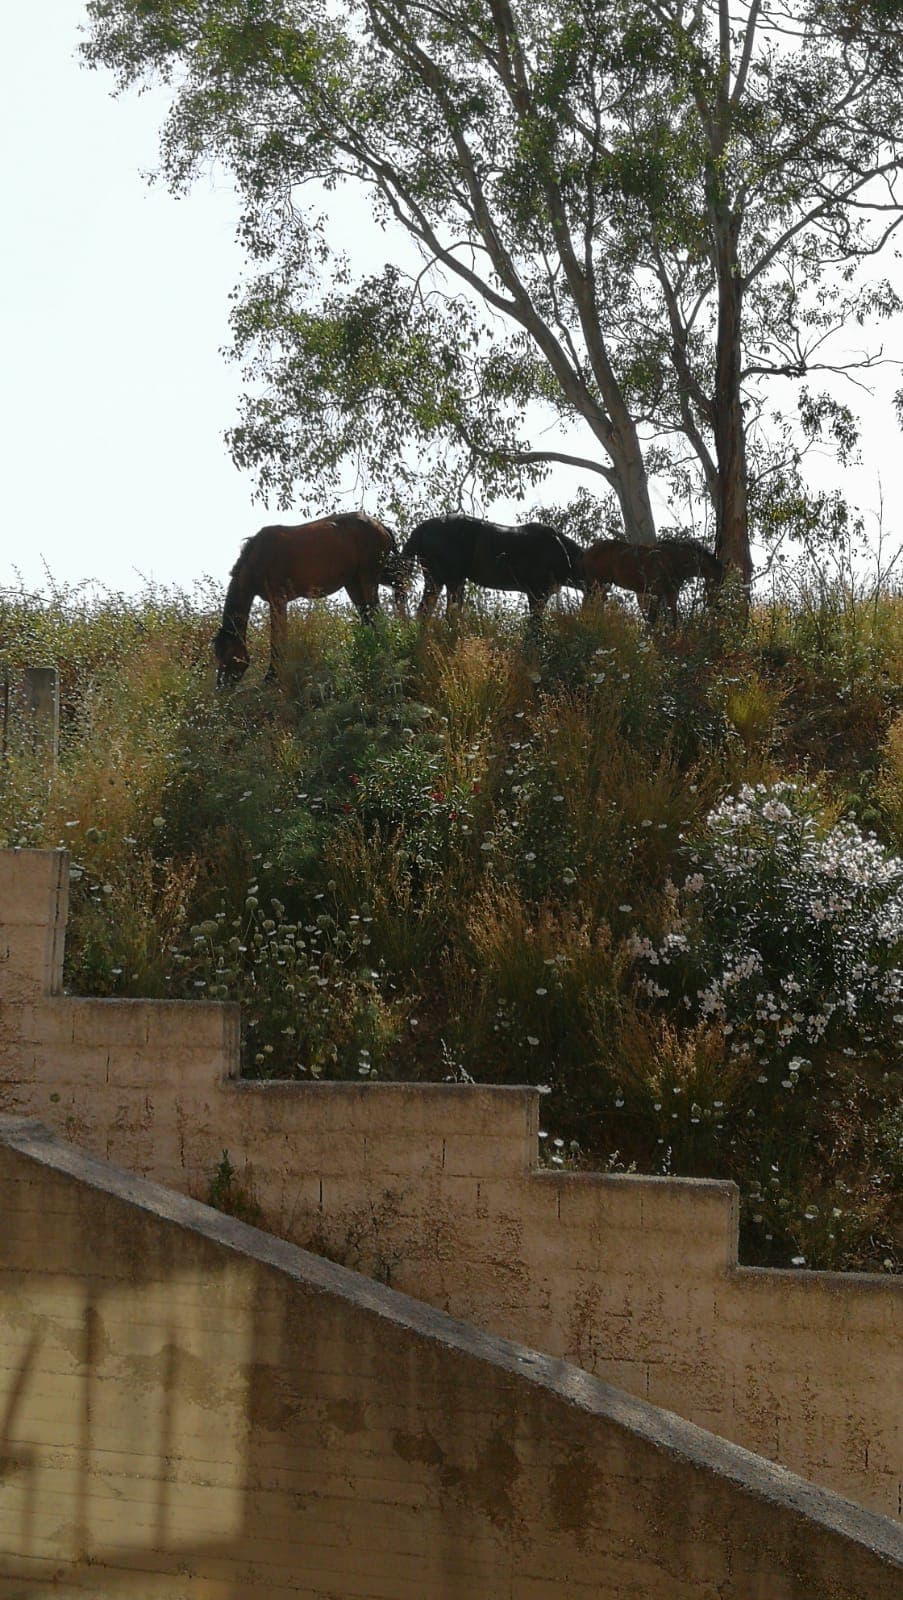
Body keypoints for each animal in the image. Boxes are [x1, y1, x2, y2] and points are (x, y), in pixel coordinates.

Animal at [212, 513, 407, 685]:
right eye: (217, 654)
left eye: (227, 654)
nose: (221, 686)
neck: (257, 558)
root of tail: (382, 527)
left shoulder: (278, 600)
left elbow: (277, 637)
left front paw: (272, 676)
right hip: (355, 581)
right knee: (382, 602)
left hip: (368, 576)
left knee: (381, 606)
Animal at [401, 515, 585, 618]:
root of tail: (421, 528)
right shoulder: (537, 593)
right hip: (454, 581)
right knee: (450, 615)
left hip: (435, 581)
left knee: (424, 613)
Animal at [579, 536, 722, 625]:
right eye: (717, 582)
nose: (716, 606)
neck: (674, 561)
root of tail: (586, 553)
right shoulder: (657, 593)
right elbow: (653, 620)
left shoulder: (670, 594)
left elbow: (672, 619)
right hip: (598, 585)